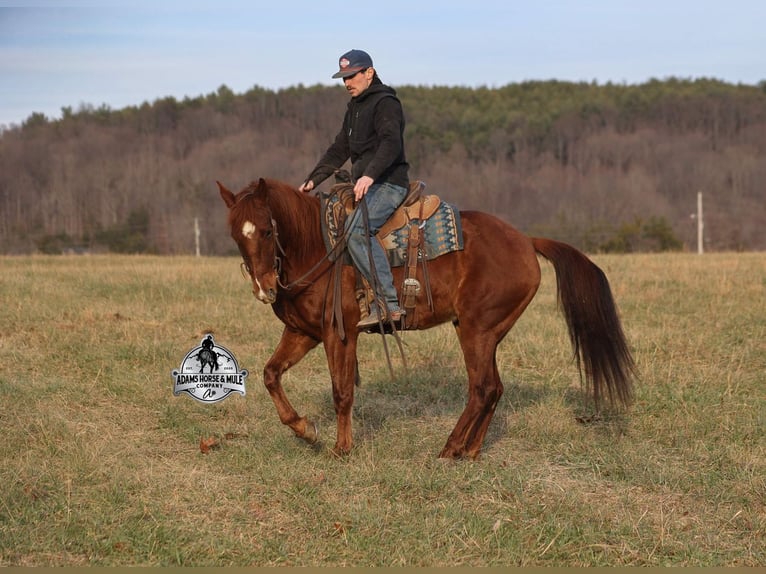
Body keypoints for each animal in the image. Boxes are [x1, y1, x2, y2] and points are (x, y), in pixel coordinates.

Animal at [218, 177, 635, 460]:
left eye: (267, 230)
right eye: (236, 235)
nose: (265, 288)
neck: (318, 246)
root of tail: (527, 242)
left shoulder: (340, 333)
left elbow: (342, 391)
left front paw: (341, 447)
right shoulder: (303, 332)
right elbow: (271, 374)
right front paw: (305, 429)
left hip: (477, 330)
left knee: (481, 388)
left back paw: (449, 448)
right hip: (485, 332)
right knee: (493, 388)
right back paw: (469, 451)